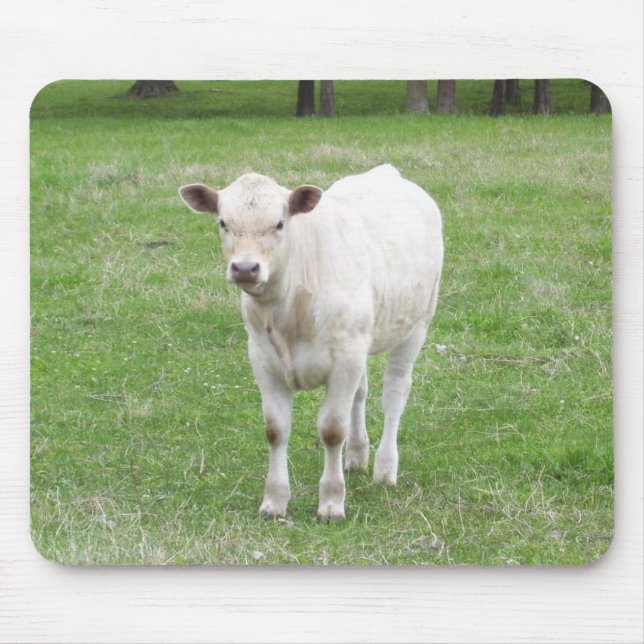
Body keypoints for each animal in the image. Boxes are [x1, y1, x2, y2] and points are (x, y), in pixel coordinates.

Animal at [179, 164, 443, 521]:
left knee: (394, 395)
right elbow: (276, 429)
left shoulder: (344, 359)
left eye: (280, 223)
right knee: (361, 394)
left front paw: (331, 503)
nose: (246, 267)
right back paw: (357, 457)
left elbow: (332, 430)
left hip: (416, 324)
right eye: (223, 222)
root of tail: (387, 172)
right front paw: (274, 501)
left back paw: (385, 469)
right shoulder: (263, 359)